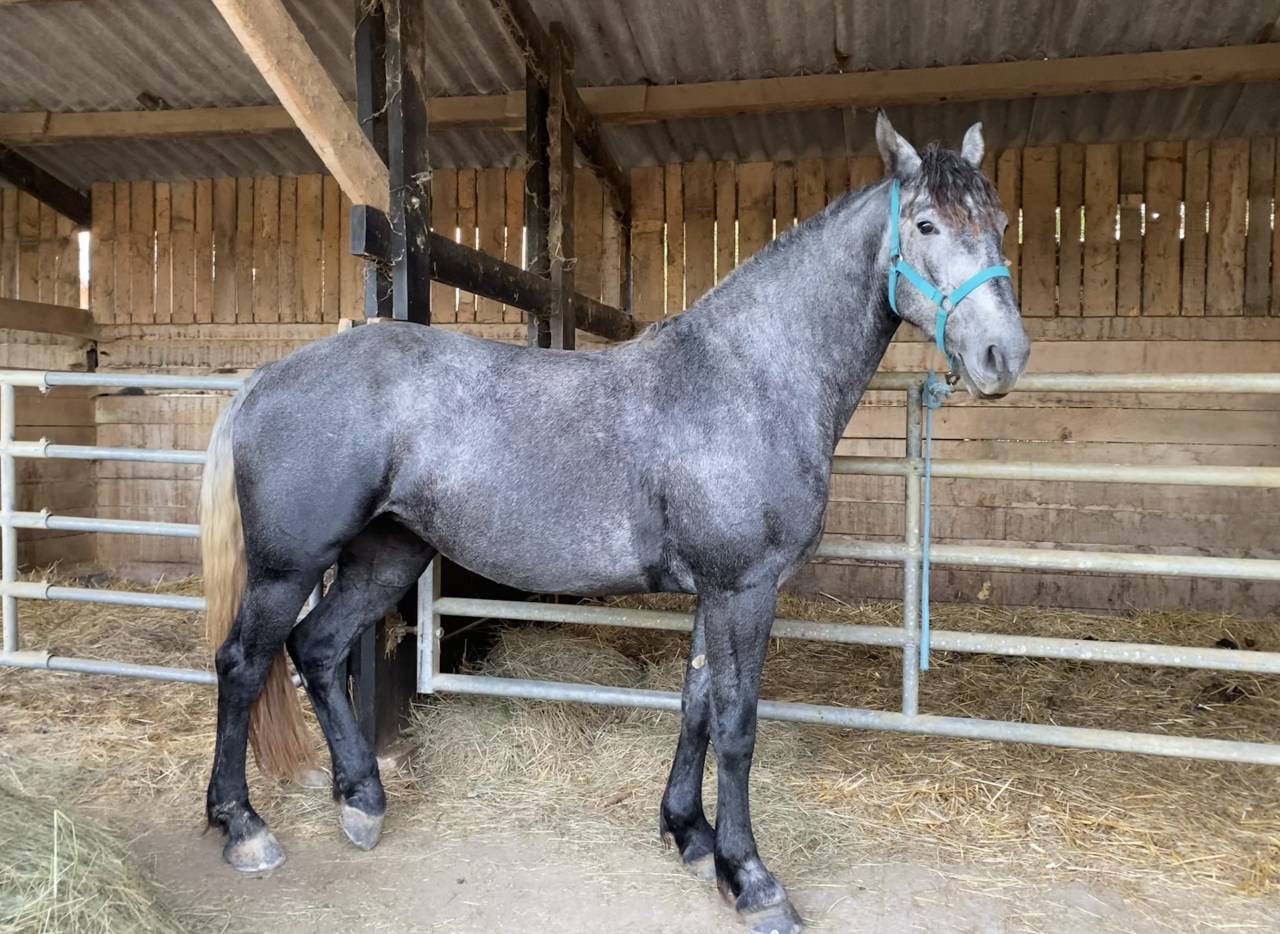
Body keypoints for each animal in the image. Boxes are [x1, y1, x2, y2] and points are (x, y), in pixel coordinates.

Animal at [200, 112, 1028, 934]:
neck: (747, 379)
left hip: (387, 555)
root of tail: (268, 378)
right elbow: (737, 726)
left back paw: (362, 803)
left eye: (998, 222)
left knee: (318, 649)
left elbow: (696, 708)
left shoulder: (716, 595)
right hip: (289, 567)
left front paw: (691, 837)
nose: (1004, 354)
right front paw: (752, 881)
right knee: (242, 663)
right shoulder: (744, 590)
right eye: (925, 224)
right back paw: (244, 827)